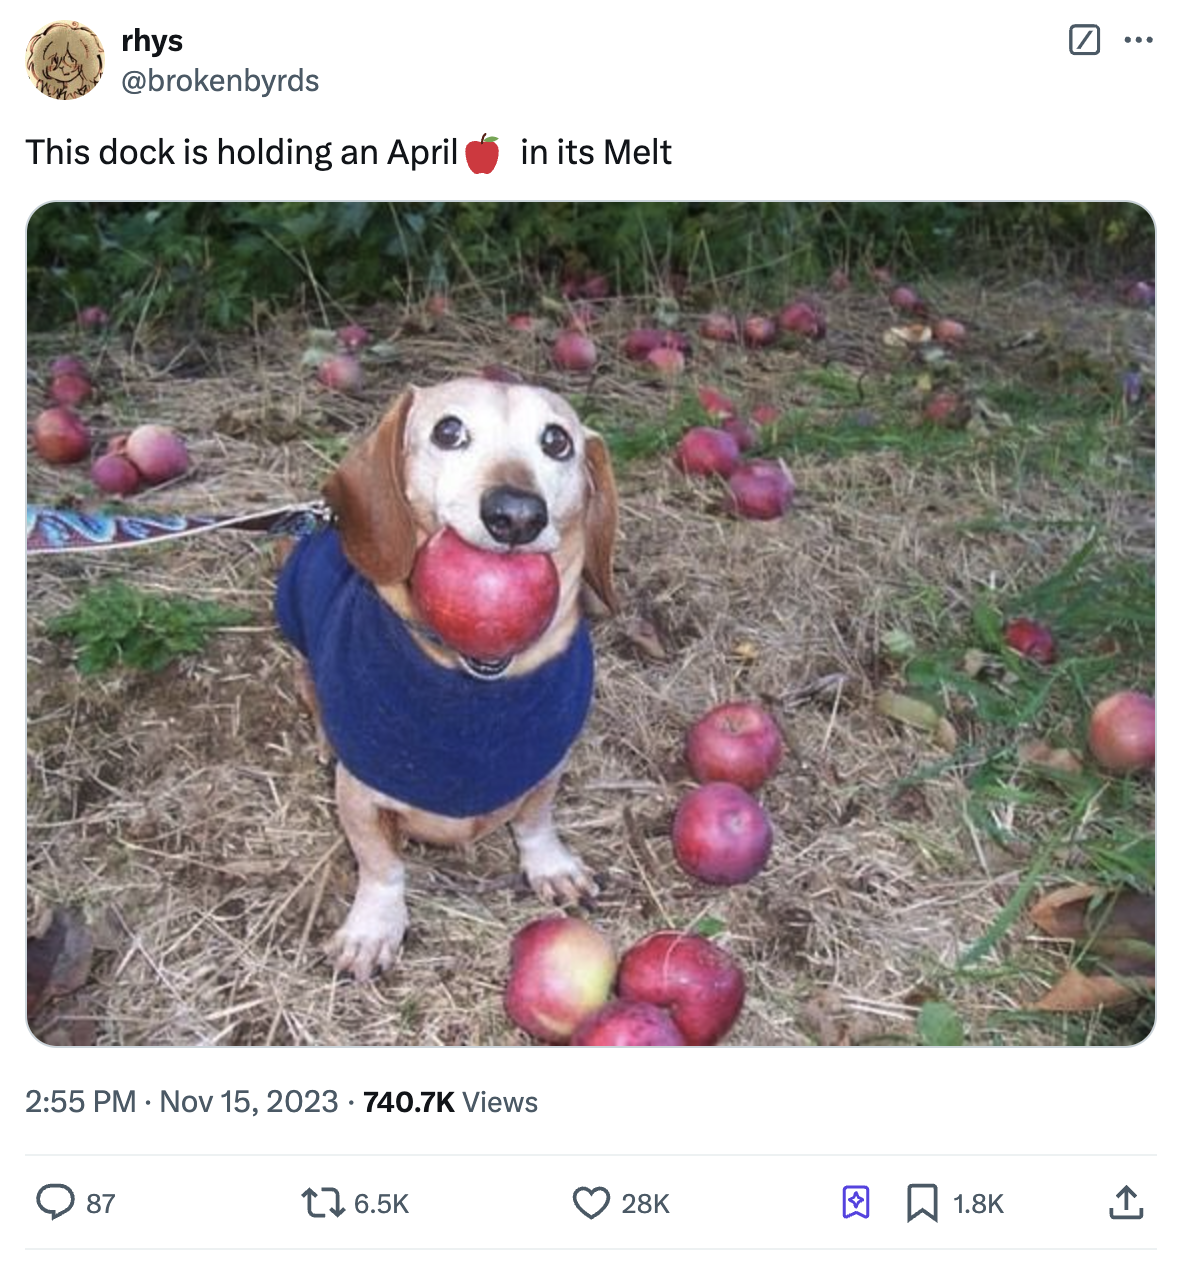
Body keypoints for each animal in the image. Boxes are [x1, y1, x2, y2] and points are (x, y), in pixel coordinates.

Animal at [275, 377, 621, 978]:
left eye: (557, 441)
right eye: (449, 431)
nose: (516, 515)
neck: (474, 687)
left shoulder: (547, 765)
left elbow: (536, 820)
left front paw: (550, 865)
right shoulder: (360, 796)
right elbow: (381, 866)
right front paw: (373, 927)